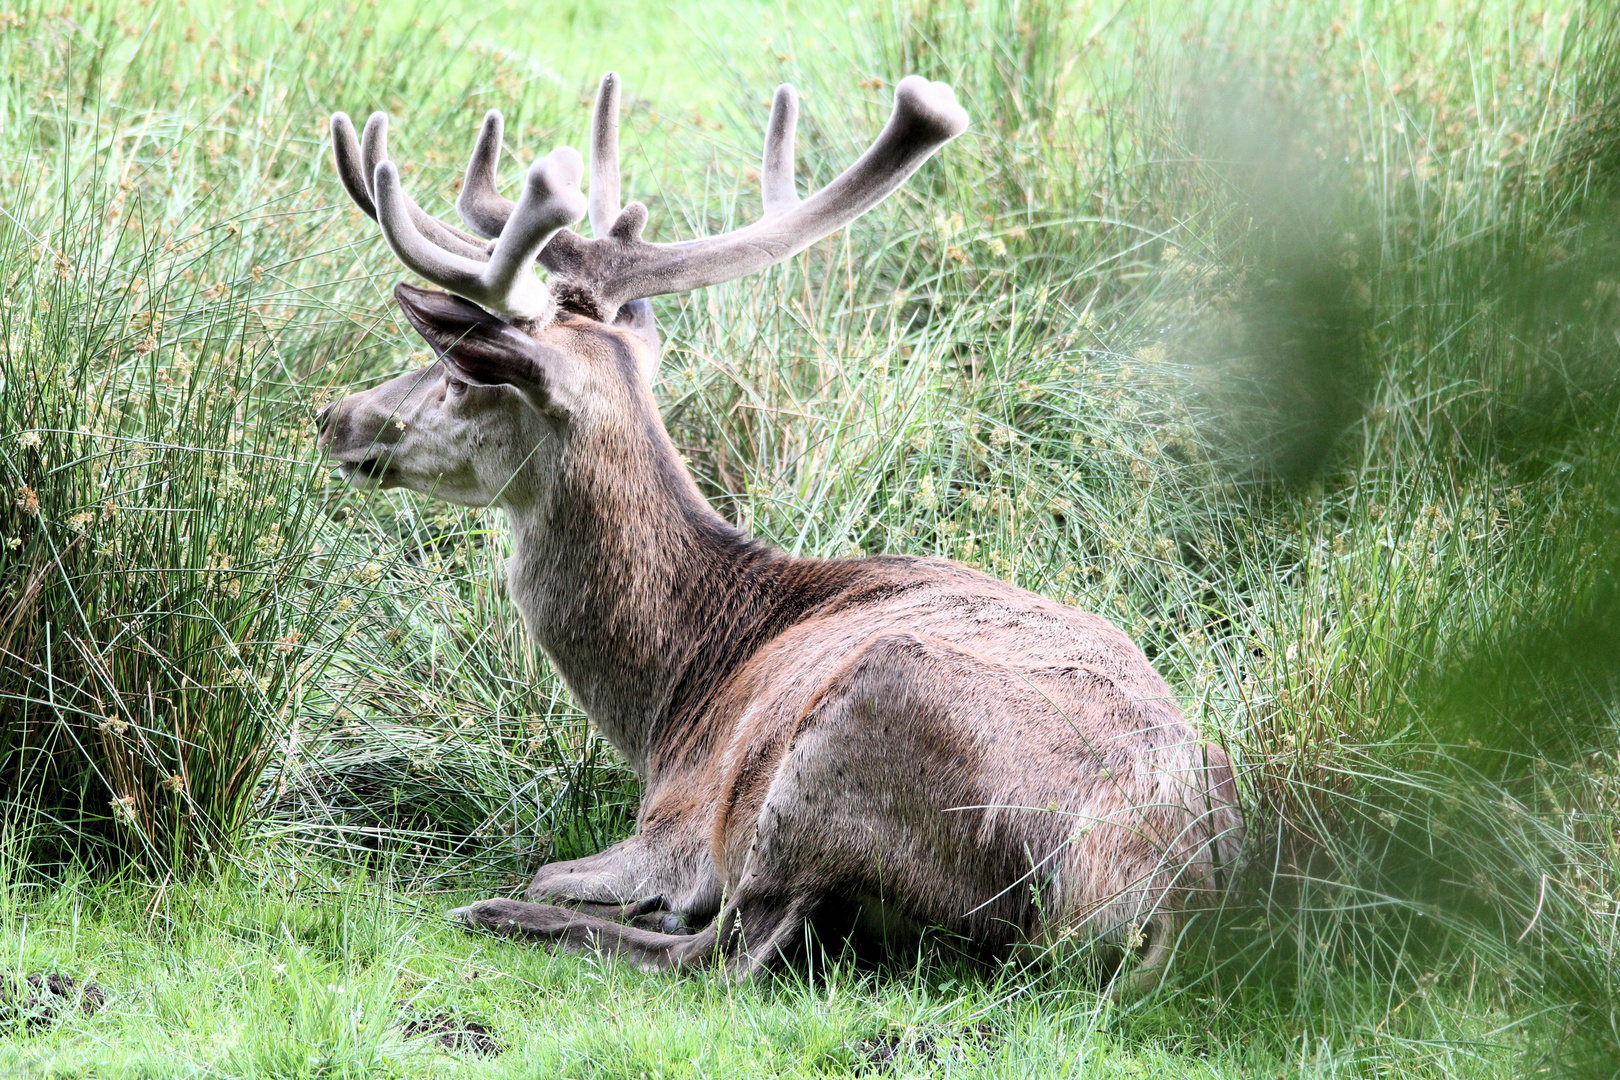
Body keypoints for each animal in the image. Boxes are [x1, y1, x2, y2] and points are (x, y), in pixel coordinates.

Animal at [322, 71, 1244, 990]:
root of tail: (1148, 904)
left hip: (852, 735)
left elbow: (560, 865)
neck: (673, 699)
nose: (337, 417)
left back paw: (511, 915)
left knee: (728, 950)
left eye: (457, 370)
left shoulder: (676, 826)